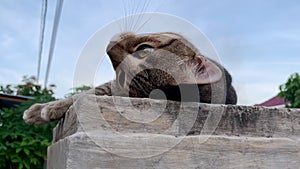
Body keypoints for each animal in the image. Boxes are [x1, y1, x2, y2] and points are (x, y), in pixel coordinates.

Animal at [22, 32, 237, 124]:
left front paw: (45, 110)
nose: (109, 46)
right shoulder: (110, 87)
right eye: (144, 49)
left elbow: (84, 95)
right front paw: (41, 109)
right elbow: (87, 92)